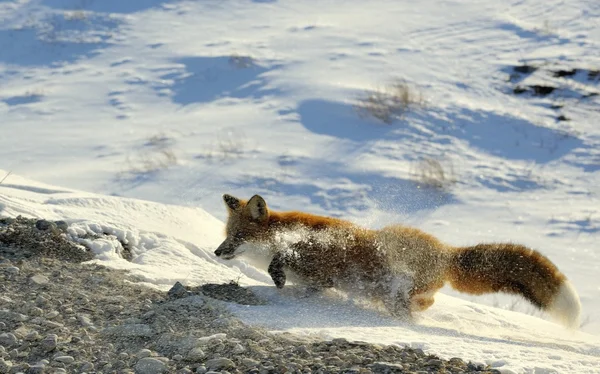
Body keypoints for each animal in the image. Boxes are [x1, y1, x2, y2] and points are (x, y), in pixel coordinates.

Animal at [214, 194, 580, 328]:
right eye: (226, 235)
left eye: (238, 237)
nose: (217, 252)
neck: (286, 232)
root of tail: (447, 252)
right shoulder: (317, 279)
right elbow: (304, 287)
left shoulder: (315, 257)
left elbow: (279, 263)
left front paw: (277, 280)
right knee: (426, 303)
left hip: (394, 270)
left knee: (418, 302)